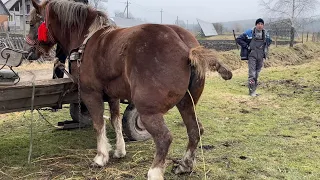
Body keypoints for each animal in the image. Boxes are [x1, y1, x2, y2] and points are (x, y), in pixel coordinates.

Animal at [28, 0, 232, 179]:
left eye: (31, 22)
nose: (30, 53)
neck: (87, 39)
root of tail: (185, 47)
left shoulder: (91, 94)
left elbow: (98, 124)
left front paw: (101, 157)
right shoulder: (112, 95)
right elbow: (115, 121)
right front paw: (119, 150)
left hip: (148, 111)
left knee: (164, 138)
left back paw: (154, 172)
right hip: (186, 103)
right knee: (195, 130)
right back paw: (185, 165)